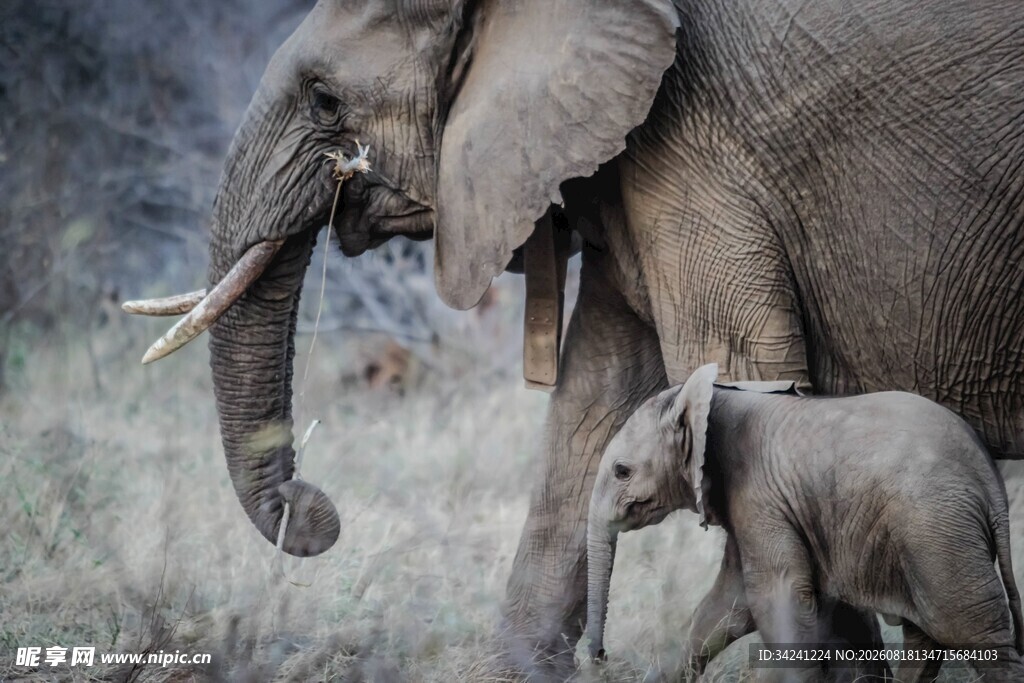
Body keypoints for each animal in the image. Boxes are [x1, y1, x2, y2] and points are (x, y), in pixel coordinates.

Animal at [585, 363, 1024, 682]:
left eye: (622, 471)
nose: (600, 657)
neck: (712, 397)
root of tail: (989, 481)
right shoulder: (755, 505)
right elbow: (726, 606)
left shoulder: (759, 495)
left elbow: (777, 598)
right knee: (928, 637)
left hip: (935, 531)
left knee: (973, 632)